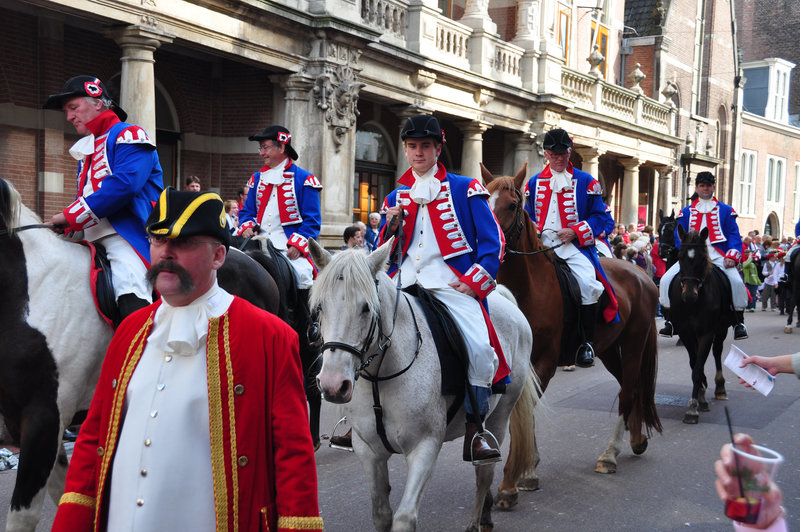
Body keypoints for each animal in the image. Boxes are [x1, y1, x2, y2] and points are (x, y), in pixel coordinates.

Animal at [308, 240, 536, 532]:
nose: (333, 384)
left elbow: (404, 518)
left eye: (366, 308)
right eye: (320, 307)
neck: (381, 377)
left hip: (500, 414)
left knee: (484, 473)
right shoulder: (369, 451)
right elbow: (381, 513)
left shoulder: (424, 447)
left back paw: (478, 519)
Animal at [482, 163, 664, 508]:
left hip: (633, 344)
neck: (529, 286)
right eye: (484, 201)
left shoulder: (544, 361)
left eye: (511, 205)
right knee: (630, 387)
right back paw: (636, 439)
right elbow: (523, 413)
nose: (489, 245)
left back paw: (610, 455)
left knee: (627, 392)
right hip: (609, 349)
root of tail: (641, 275)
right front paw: (528, 470)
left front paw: (515, 479)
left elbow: (525, 412)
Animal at [664, 225, 736, 424]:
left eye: (703, 258)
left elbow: (698, 367)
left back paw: (720, 387)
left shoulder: (707, 332)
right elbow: (694, 363)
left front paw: (693, 409)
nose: (689, 295)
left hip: (721, 329)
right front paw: (701, 396)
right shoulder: (685, 332)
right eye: (681, 257)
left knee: (717, 351)